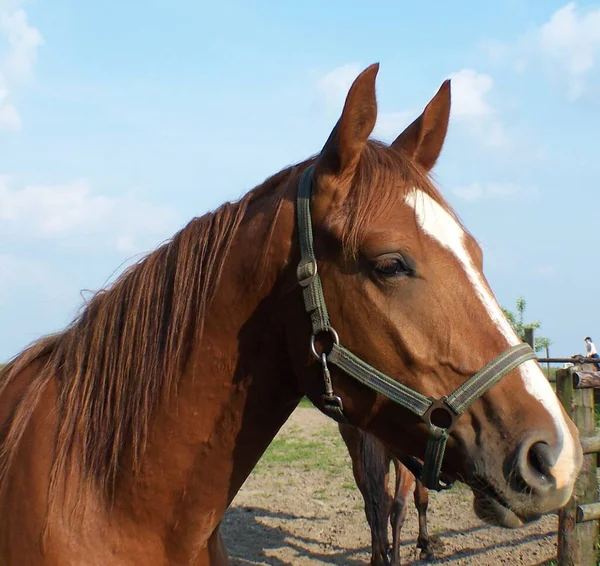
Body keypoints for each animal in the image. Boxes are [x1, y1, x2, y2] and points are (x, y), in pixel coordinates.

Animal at [340, 426, 434, 566]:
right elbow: (421, 499)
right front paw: (425, 546)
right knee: (398, 506)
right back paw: (394, 560)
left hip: (358, 458)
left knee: (376, 506)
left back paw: (378, 558)